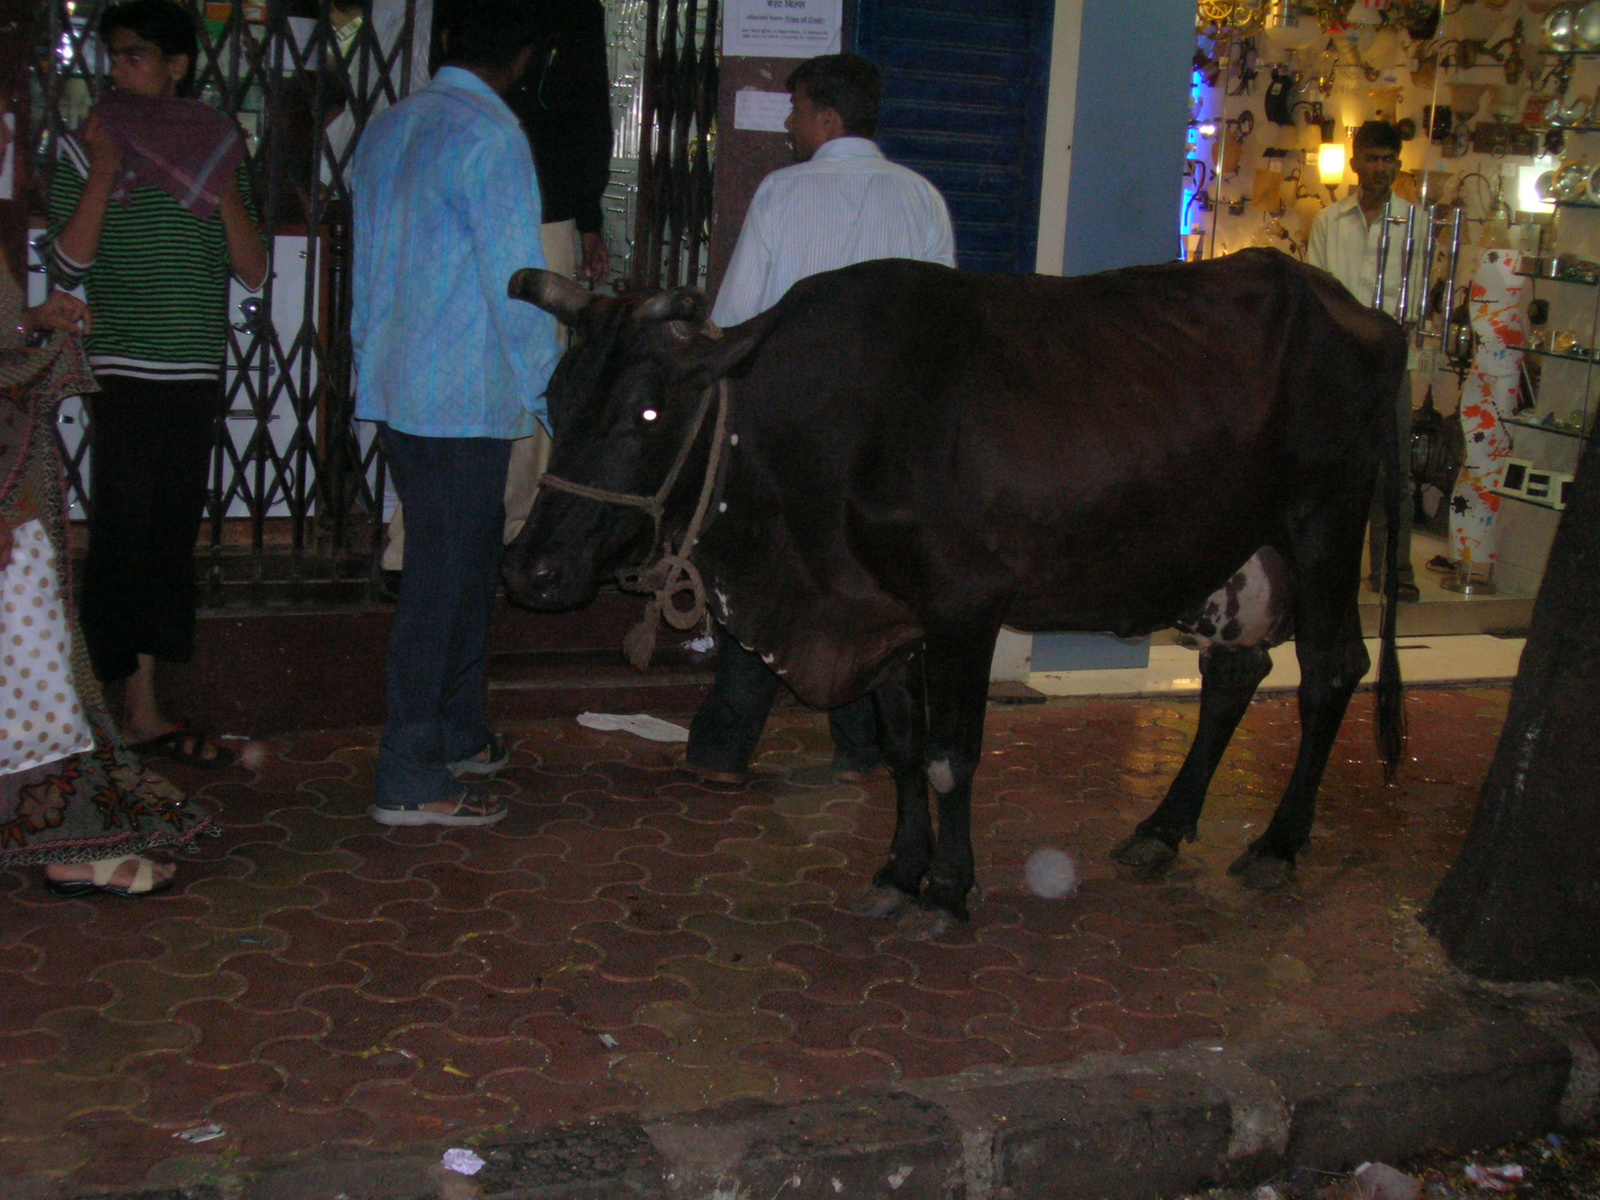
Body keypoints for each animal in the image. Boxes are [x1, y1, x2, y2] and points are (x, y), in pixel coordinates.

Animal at [499, 251, 1401, 940]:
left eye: (649, 412)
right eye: (557, 400)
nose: (530, 570)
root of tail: (1358, 307)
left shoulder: (967, 608)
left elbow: (949, 756)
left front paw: (949, 889)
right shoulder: (887, 618)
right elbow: (902, 752)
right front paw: (900, 872)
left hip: (1323, 521)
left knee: (1329, 669)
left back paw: (1278, 846)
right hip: (1238, 555)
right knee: (1233, 675)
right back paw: (1161, 830)